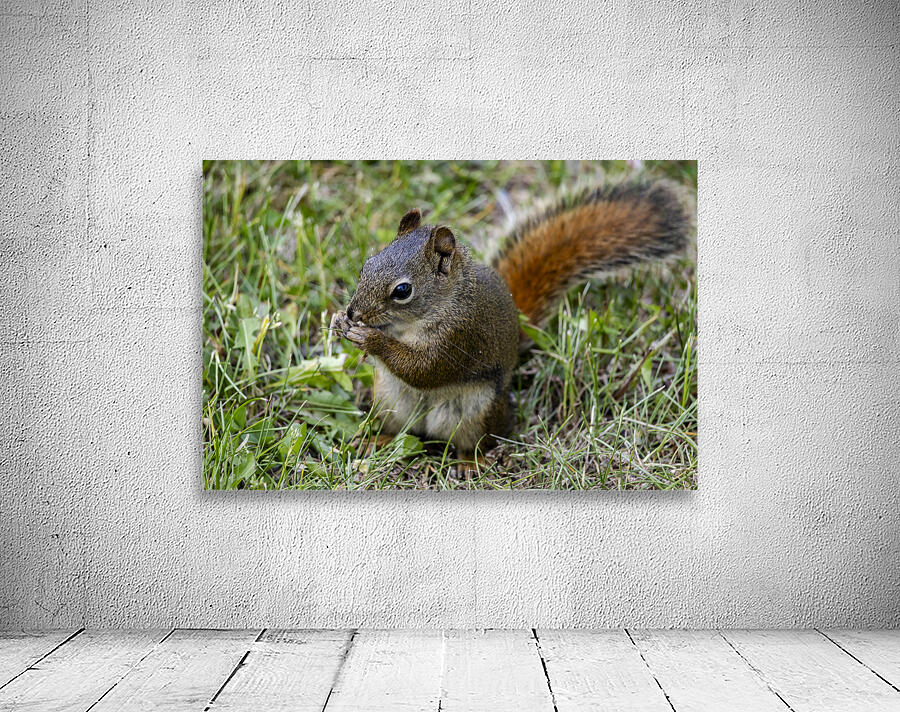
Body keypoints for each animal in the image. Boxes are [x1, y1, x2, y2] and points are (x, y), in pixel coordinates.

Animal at [331, 177, 691, 475]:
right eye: (367, 265)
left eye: (403, 291)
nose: (354, 311)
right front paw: (340, 322)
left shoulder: (461, 334)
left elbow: (426, 368)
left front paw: (370, 340)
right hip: (389, 400)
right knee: (400, 431)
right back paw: (376, 442)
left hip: (477, 413)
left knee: (475, 441)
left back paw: (470, 463)